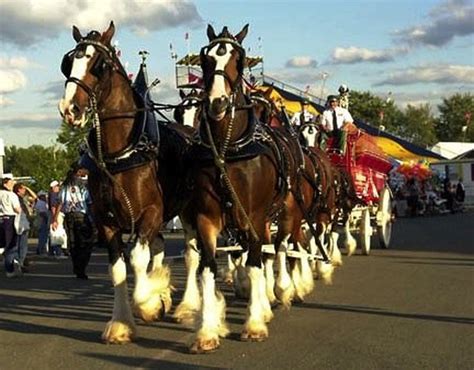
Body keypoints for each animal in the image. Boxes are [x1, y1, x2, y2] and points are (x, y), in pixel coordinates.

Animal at [57, 22, 194, 344]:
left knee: (191, 255)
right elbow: (119, 269)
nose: (69, 108)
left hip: (190, 212)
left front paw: (148, 303)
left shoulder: (151, 214)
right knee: (160, 248)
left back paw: (185, 305)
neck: (122, 153)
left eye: (99, 65)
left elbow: (137, 258)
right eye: (68, 63)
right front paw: (121, 322)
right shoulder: (106, 222)